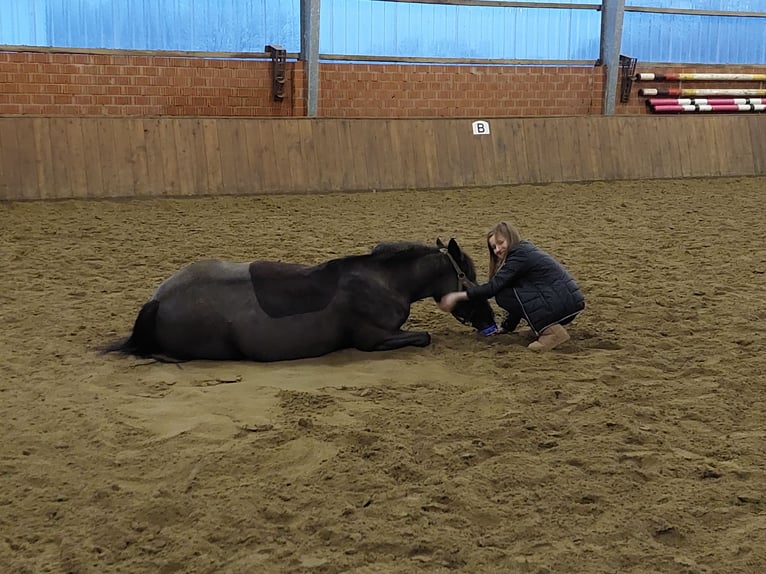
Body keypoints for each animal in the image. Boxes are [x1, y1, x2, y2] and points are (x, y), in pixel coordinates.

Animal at [102, 240, 496, 364]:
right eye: (468, 275)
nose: (489, 320)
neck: (384, 280)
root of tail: (158, 300)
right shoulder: (373, 339)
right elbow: (424, 337)